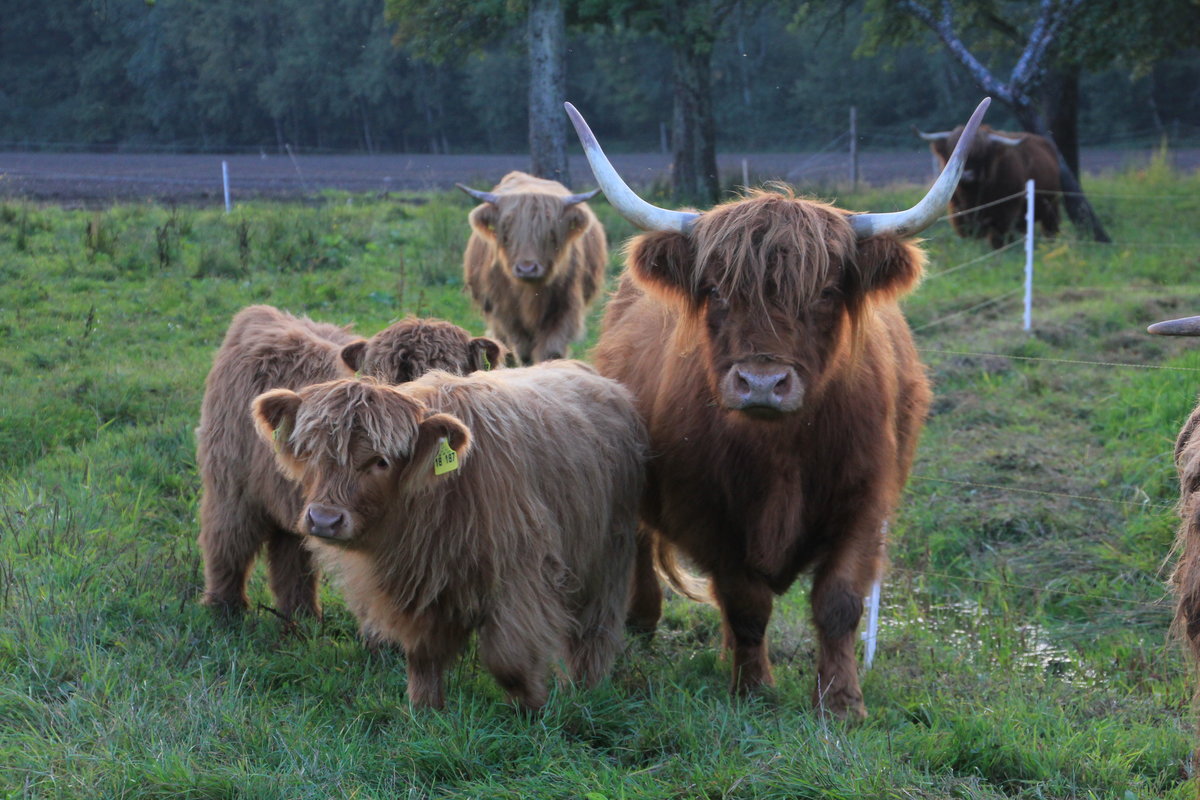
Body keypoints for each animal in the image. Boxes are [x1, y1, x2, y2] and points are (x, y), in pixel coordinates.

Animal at [194, 307, 499, 618]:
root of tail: (260, 313)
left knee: (290, 553)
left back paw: (301, 615)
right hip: (231, 485)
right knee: (227, 541)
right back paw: (224, 609)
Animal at [249, 359, 648, 710]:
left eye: (381, 461)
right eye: (311, 453)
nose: (324, 519)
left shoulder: (523, 576)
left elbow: (509, 658)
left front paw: (532, 707)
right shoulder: (417, 584)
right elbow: (422, 656)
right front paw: (425, 710)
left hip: (609, 555)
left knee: (594, 630)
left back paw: (585, 688)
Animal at [458, 173, 609, 367]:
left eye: (551, 230)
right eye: (506, 228)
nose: (527, 269)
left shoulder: (564, 310)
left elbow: (552, 351)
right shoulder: (507, 313)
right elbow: (524, 353)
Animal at [566, 98, 988, 719]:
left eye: (827, 292)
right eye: (716, 290)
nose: (762, 383)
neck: (781, 454)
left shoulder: (866, 503)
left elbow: (839, 602)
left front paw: (841, 702)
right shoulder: (709, 512)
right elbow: (746, 603)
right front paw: (754, 689)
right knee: (639, 535)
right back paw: (640, 617)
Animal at [916, 120, 1060, 247]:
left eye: (982, 155)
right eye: (951, 152)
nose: (967, 175)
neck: (973, 197)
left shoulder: (1005, 214)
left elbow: (1000, 241)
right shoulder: (960, 215)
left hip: (1051, 206)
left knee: (1050, 228)